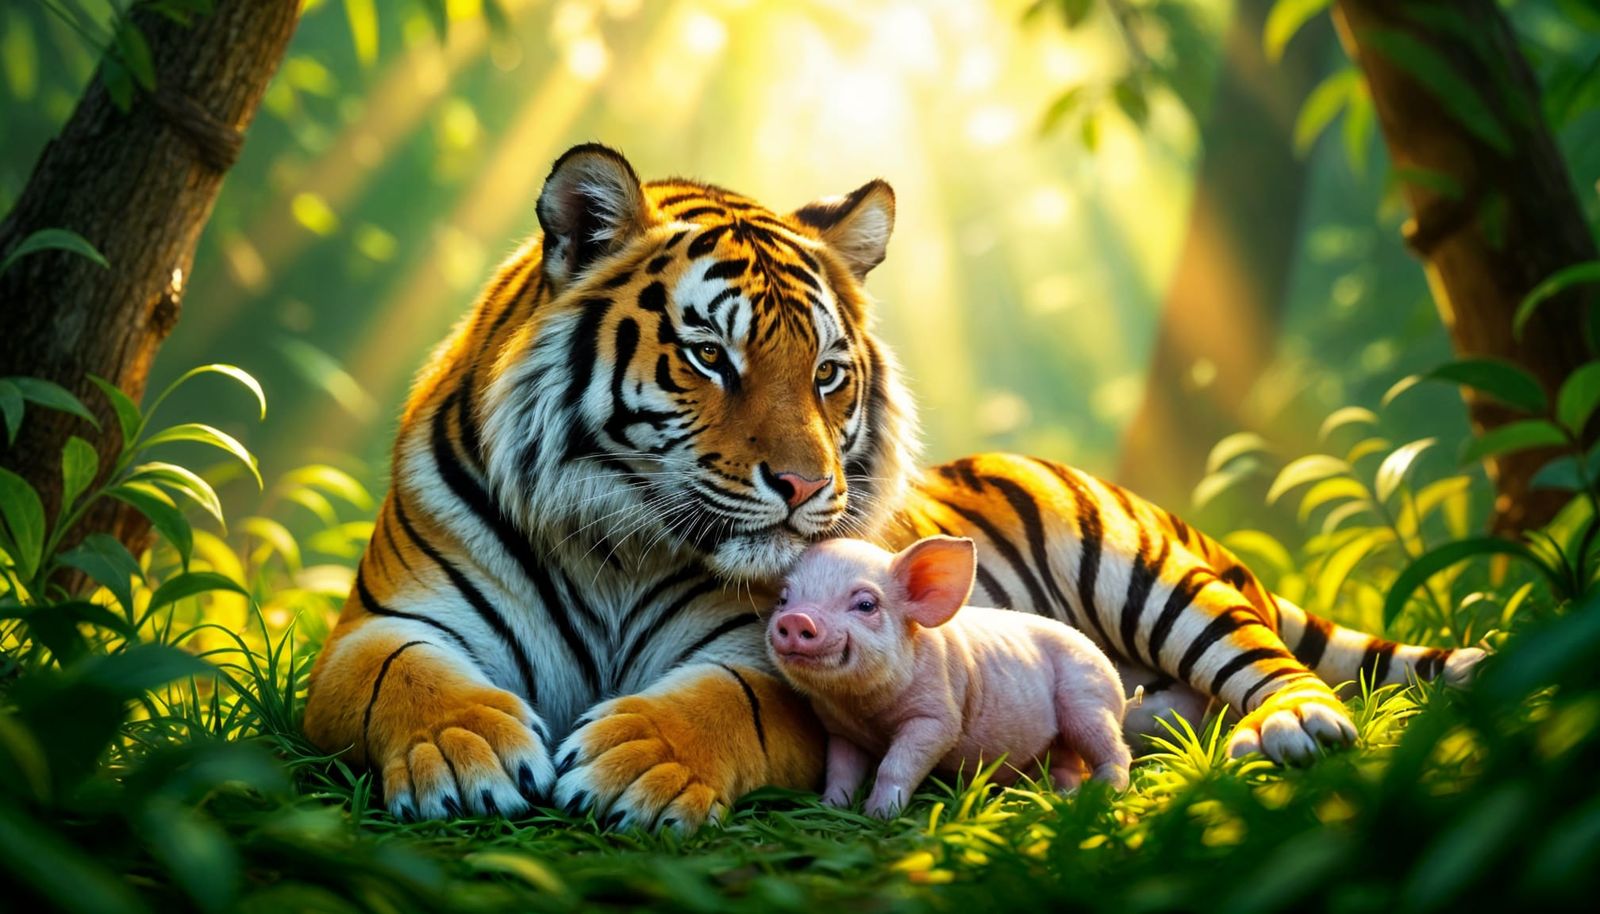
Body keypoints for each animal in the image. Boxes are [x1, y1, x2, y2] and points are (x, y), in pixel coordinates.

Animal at [767, 535, 1133, 819]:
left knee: (1115, 752)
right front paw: (828, 808)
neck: (863, 707)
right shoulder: (842, 732)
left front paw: (879, 815)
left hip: (1089, 699)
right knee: (1068, 765)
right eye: (783, 599)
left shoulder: (936, 717)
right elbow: (840, 772)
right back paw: (1058, 795)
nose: (797, 617)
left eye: (866, 605)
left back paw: (1099, 792)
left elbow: (895, 765)